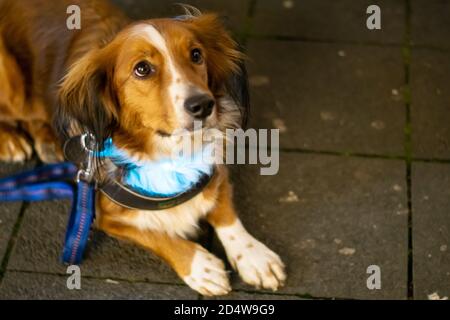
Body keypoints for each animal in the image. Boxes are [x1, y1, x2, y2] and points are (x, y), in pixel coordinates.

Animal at [0, 0, 286, 296]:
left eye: (196, 54)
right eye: (142, 69)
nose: (204, 105)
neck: (170, 151)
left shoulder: (213, 169)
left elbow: (227, 213)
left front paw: (254, 256)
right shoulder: (103, 213)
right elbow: (156, 234)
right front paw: (199, 265)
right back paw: (11, 140)